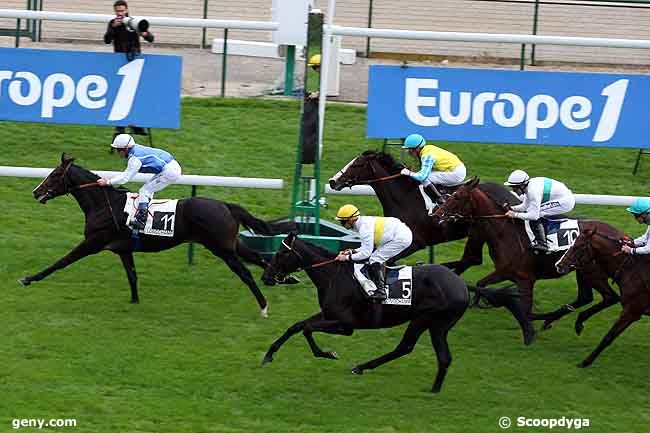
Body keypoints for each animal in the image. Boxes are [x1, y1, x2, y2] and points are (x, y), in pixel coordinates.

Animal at [18, 154, 296, 316]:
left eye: (55, 175)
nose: (35, 192)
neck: (104, 204)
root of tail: (226, 205)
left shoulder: (92, 242)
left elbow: (60, 262)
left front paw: (28, 278)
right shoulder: (123, 248)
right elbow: (132, 275)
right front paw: (134, 302)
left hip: (221, 248)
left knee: (246, 272)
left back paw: (264, 306)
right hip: (232, 244)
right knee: (260, 258)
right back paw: (285, 278)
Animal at [260, 233, 468, 392]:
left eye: (281, 253)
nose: (266, 277)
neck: (333, 276)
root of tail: (463, 286)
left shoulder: (346, 326)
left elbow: (307, 329)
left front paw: (328, 353)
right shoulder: (328, 314)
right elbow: (296, 326)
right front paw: (268, 355)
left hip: (427, 320)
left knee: (408, 347)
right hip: (435, 325)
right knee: (432, 354)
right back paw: (433, 389)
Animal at [432, 177, 620, 332]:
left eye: (457, 197)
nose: (437, 213)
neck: (505, 232)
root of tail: (620, 236)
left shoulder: (524, 278)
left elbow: (527, 312)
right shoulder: (504, 272)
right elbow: (481, 283)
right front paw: (477, 301)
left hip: (593, 272)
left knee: (610, 297)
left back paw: (569, 321)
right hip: (581, 270)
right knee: (585, 297)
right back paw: (558, 318)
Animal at [552, 224, 648, 366]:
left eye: (578, 246)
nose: (558, 265)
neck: (632, 271)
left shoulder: (631, 311)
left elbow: (608, 337)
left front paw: (585, 362)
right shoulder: (631, 310)